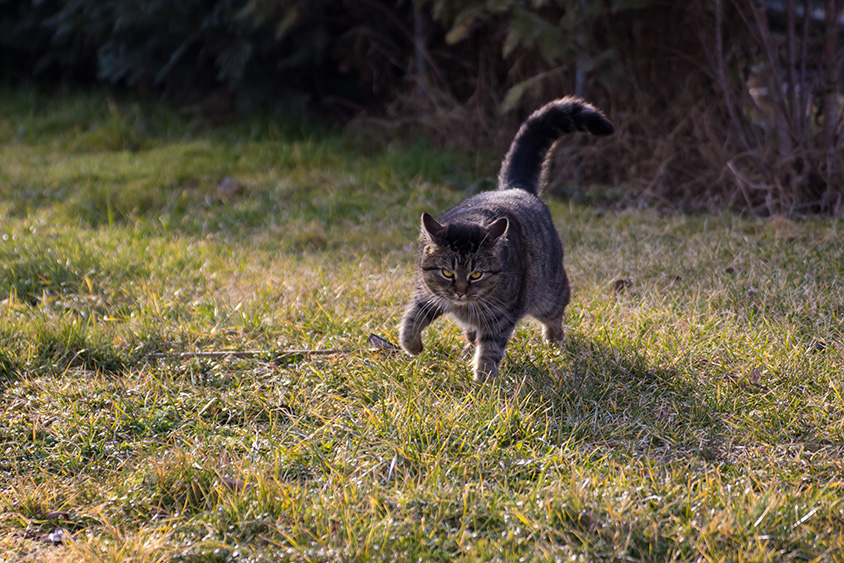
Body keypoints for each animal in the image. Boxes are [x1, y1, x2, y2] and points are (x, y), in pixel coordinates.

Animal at [398, 97, 608, 384]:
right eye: (446, 272)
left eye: (476, 275)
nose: (460, 292)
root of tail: (515, 187)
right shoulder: (427, 294)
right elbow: (411, 319)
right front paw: (413, 346)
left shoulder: (501, 317)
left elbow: (491, 348)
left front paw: (484, 380)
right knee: (471, 333)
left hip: (550, 293)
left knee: (555, 316)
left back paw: (554, 342)